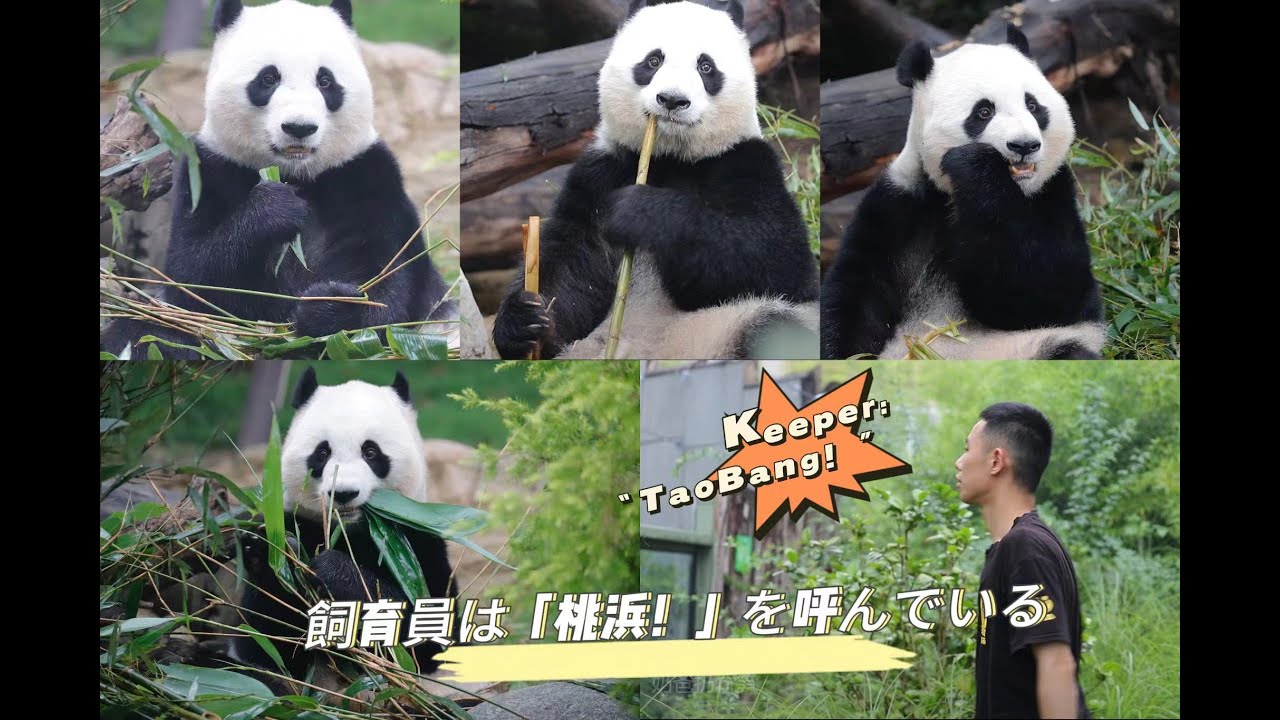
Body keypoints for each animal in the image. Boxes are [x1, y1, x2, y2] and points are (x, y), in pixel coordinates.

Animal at [101, 0, 451, 360]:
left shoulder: (366, 176)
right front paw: (274, 209)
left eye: (325, 81)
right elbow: (194, 280)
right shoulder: (208, 171)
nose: (299, 127)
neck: (297, 175)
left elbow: (389, 288)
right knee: (148, 333)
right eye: (268, 78)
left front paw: (329, 308)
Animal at [232, 367, 456, 690]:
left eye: (371, 452)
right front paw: (267, 551)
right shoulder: (297, 521)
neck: (351, 531)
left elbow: (426, 634)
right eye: (322, 453)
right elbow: (266, 646)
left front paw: (333, 570)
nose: (344, 493)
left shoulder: (417, 541)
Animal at [492, 0, 820, 360]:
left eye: (706, 67)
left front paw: (640, 212)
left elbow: (780, 261)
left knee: (772, 327)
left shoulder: (744, 162)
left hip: (717, 330)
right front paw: (525, 321)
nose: (672, 100)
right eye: (653, 60)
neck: (670, 159)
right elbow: (572, 260)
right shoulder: (602, 172)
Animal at [820, 26, 1105, 360]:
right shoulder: (899, 203)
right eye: (983, 111)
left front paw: (975, 166)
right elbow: (858, 291)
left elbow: (1050, 292)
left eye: (1033, 105)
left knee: (1067, 352)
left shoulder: (1052, 193)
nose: (1024, 145)